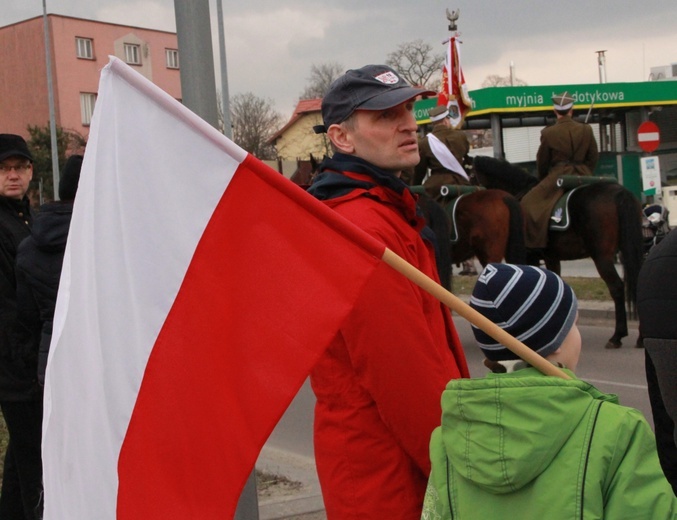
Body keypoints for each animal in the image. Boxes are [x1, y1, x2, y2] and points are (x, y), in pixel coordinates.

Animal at [472, 154, 640, 350]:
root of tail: (619, 192)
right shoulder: (551, 258)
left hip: (602, 257)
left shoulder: (531, 257)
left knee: (617, 287)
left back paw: (617, 336)